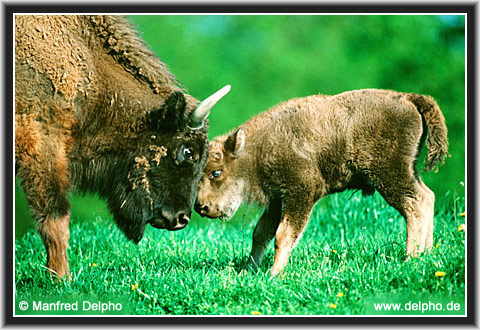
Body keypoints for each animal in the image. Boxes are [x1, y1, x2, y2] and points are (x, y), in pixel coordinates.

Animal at [193, 89, 448, 276]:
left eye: (216, 173)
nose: (201, 207)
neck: (257, 148)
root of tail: (409, 98)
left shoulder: (301, 195)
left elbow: (283, 235)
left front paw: (274, 274)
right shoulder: (277, 200)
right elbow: (261, 232)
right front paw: (249, 270)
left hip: (390, 176)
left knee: (415, 203)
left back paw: (410, 258)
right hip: (408, 172)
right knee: (428, 196)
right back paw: (425, 254)